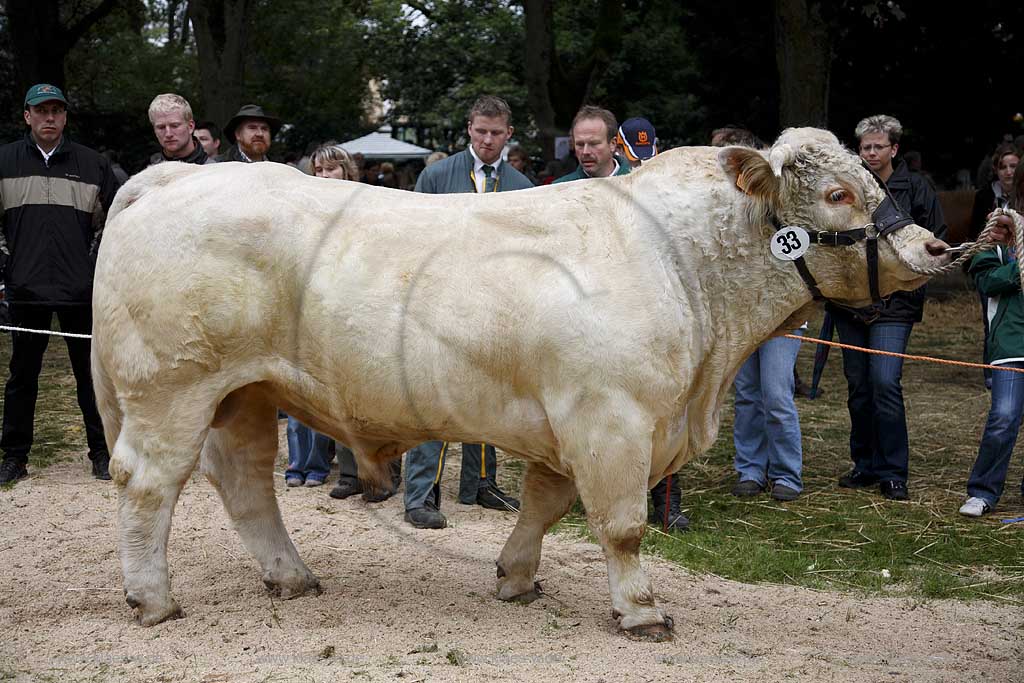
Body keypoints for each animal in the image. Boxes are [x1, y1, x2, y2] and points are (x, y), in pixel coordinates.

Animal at [92, 129, 946, 643]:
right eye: (837, 194)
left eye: (871, 175)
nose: (935, 246)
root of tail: (174, 175)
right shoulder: (611, 417)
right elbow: (622, 524)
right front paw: (640, 610)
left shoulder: (572, 421)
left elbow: (544, 503)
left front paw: (516, 577)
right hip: (173, 389)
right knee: (149, 484)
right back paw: (152, 598)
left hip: (248, 392)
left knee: (244, 483)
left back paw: (291, 577)